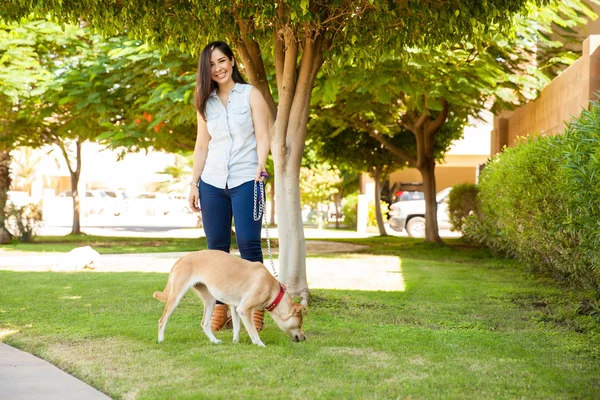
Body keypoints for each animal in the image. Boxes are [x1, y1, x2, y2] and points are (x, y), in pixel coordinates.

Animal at [152, 250, 308, 346]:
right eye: (300, 325)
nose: (304, 337)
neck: (273, 290)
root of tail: (182, 258)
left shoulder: (235, 306)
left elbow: (237, 327)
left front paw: (235, 342)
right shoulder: (244, 309)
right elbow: (253, 331)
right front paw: (260, 344)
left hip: (210, 299)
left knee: (205, 323)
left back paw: (214, 341)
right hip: (176, 296)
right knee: (162, 320)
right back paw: (161, 340)